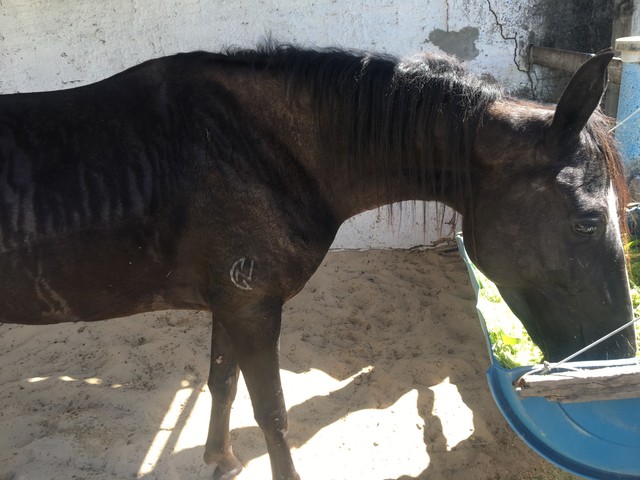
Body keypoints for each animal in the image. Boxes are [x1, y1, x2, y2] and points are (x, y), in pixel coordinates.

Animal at [0, 43, 636, 478]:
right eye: (587, 221)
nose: (615, 358)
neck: (255, 150)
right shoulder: (253, 309)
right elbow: (272, 412)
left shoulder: (231, 306)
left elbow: (221, 383)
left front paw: (220, 457)